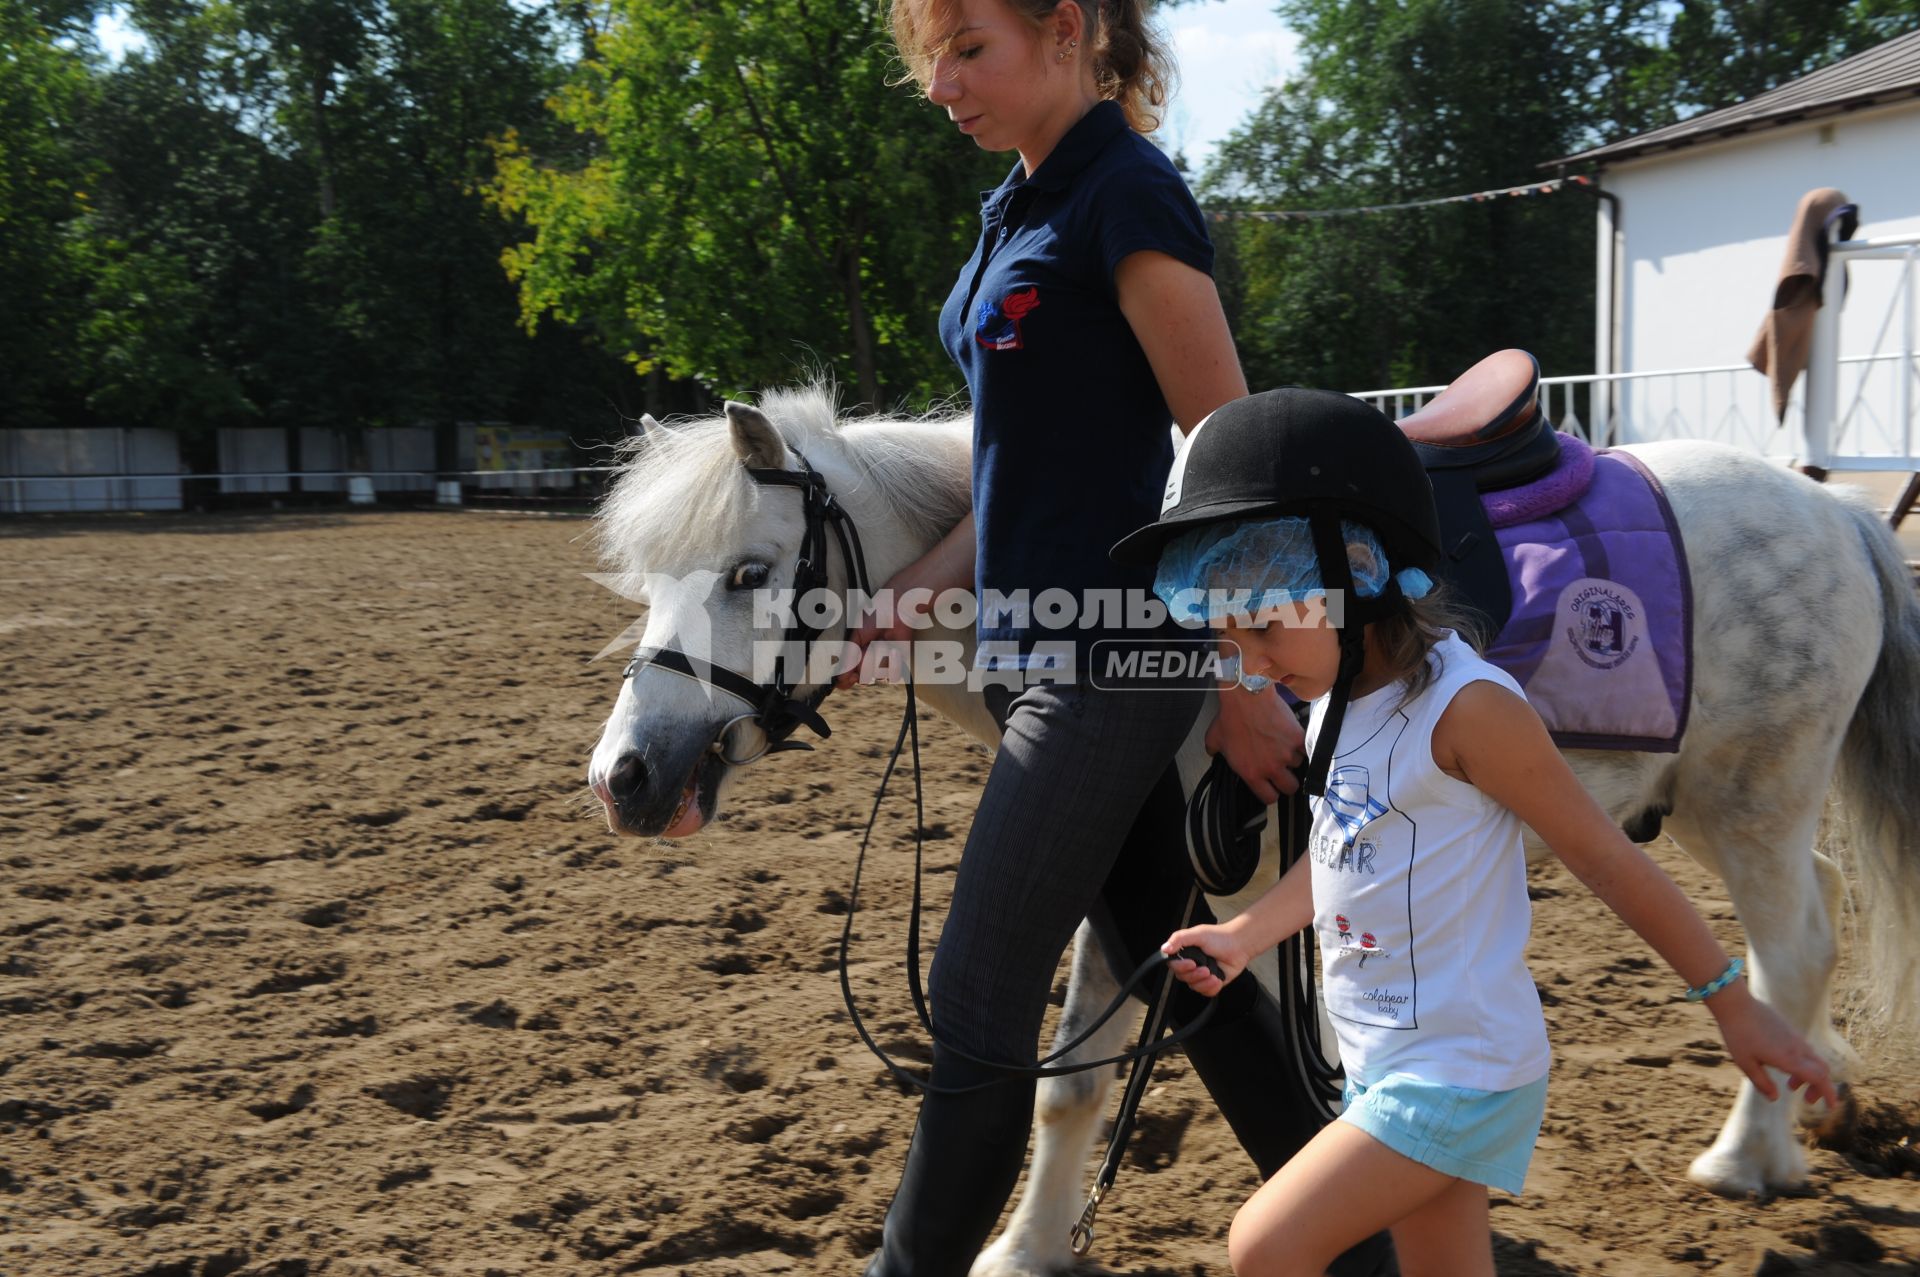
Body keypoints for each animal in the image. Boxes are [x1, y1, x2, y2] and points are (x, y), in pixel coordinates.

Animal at [583, 384, 1920, 1267]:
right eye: (649, 577)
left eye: (751, 570)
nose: (624, 776)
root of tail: (1843, 519)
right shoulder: (1127, 881)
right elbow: (1075, 1079)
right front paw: (1030, 1244)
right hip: (1707, 803)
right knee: (1809, 927)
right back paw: (1803, 1122)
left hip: (1749, 797)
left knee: (1793, 946)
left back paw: (1746, 1152)